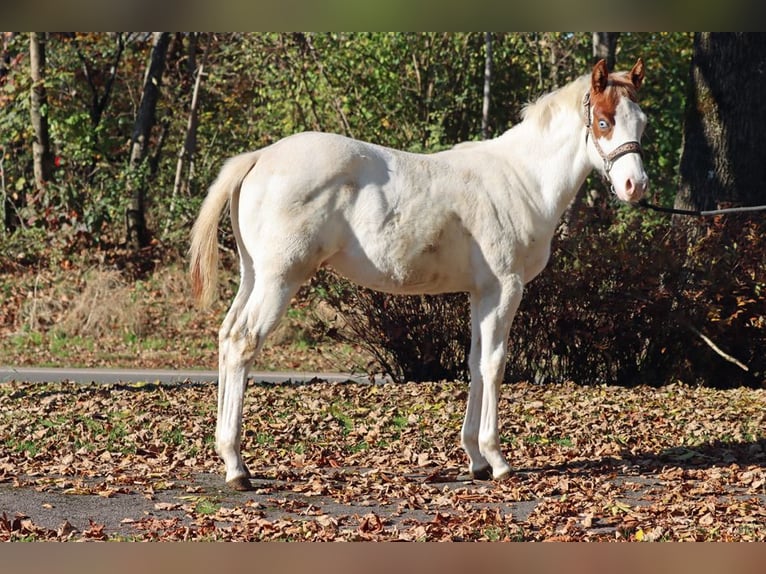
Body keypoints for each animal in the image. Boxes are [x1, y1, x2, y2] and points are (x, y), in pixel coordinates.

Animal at [189, 58, 648, 491]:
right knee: (243, 342)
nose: (635, 186)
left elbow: (475, 362)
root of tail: (258, 158)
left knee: (227, 337)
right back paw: (236, 467)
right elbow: (495, 364)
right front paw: (497, 460)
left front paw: (476, 460)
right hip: (279, 279)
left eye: (641, 122)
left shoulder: (481, 292)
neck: (522, 180)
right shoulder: (505, 289)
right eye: (604, 121)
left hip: (254, 275)